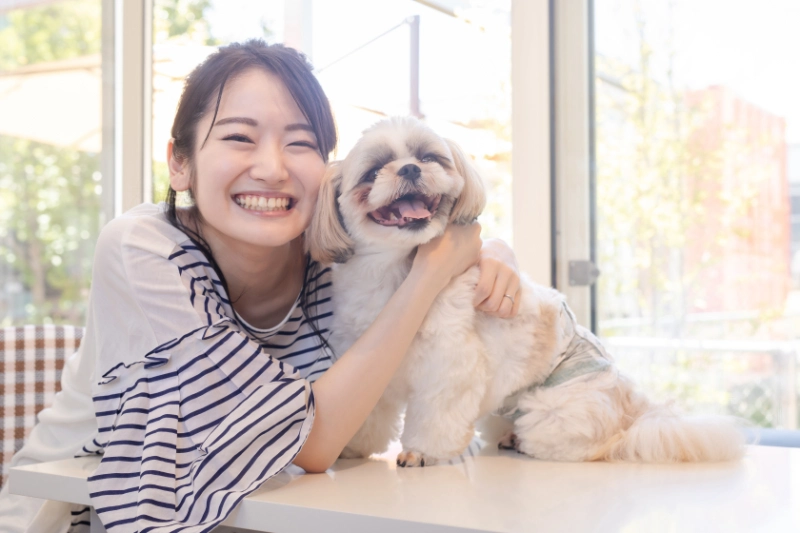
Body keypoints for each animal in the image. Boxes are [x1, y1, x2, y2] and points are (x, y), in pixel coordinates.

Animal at [304, 116, 744, 466]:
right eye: (374, 171)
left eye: (429, 157)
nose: (411, 169)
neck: (396, 275)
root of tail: (634, 410)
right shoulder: (366, 357)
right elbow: (367, 411)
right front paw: (352, 447)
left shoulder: (449, 365)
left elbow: (436, 413)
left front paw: (421, 451)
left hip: (557, 415)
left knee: (595, 444)